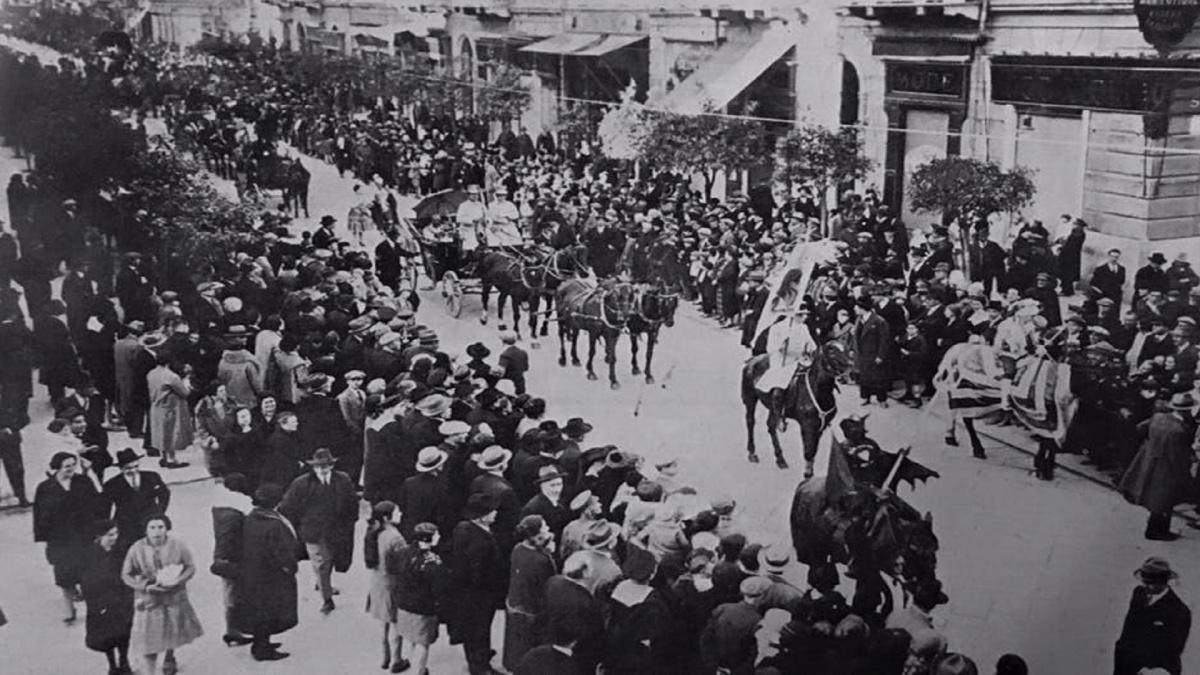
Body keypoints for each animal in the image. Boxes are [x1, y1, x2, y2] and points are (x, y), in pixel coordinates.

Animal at [739, 338, 854, 470]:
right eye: (832, 351)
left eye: (847, 348)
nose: (851, 365)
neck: (818, 390)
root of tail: (752, 361)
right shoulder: (807, 426)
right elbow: (808, 453)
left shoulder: (820, 427)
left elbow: (812, 453)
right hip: (750, 398)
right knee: (750, 421)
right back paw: (752, 453)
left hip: (771, 406)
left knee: (771, 425)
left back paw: (780, 459)